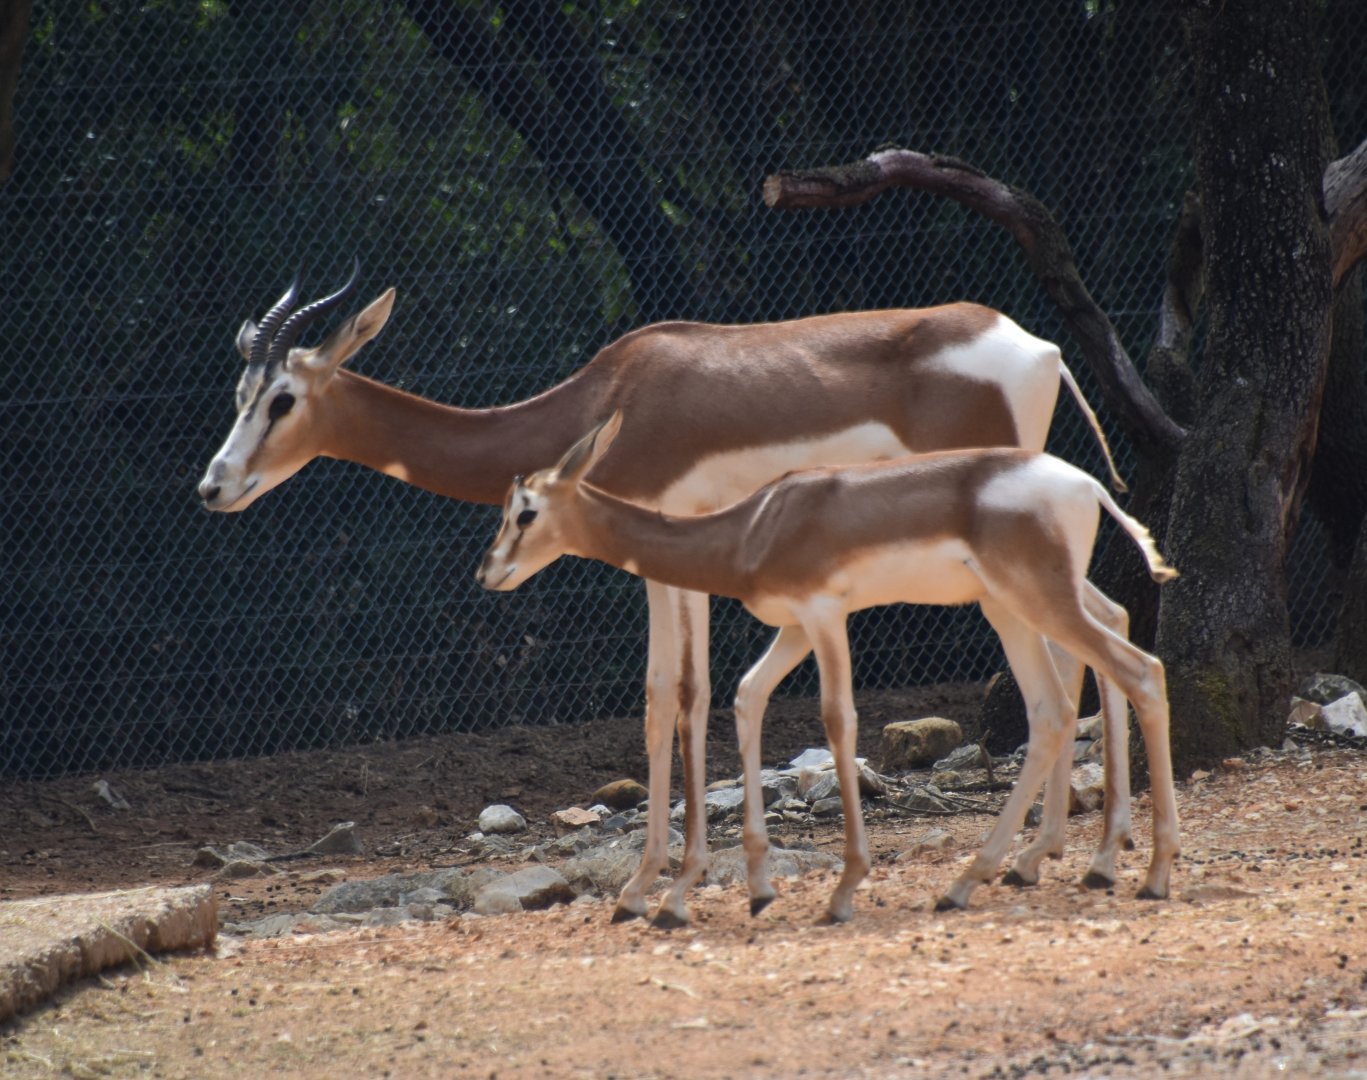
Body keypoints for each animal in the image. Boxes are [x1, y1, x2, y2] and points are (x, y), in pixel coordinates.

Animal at [477, 413, 1180, 922]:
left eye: (526, 510)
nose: (488, 571)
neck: (752, 528)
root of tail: (1085, 485)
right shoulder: (792, 626)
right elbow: (746, 696)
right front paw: (737, 891)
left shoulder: (824, 615)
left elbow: (838, 721)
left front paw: (842, 891)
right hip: (1013, 605)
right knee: (1059, 703)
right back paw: (994, 877)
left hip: (1037, 599)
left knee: (1138, 669)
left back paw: (1148, 874)